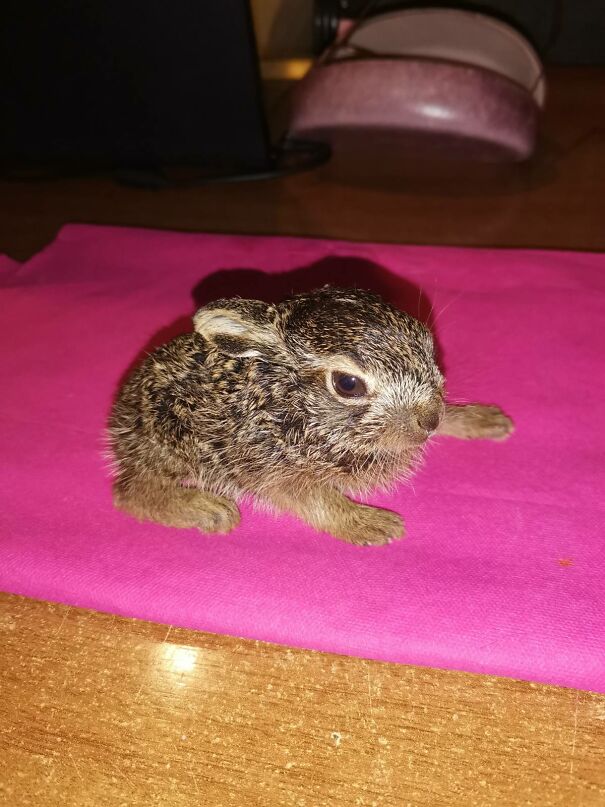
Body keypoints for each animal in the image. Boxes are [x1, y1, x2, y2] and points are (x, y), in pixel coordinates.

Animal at [108, 286, 513, 546]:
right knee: (129, 491)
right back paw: (210, 510)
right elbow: (318, 500)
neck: (295, 402)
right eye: (347, 384)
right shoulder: (271, 468)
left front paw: (485, 420)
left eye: (428, 346)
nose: (428, 420)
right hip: (172, 439)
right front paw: (373, 525)